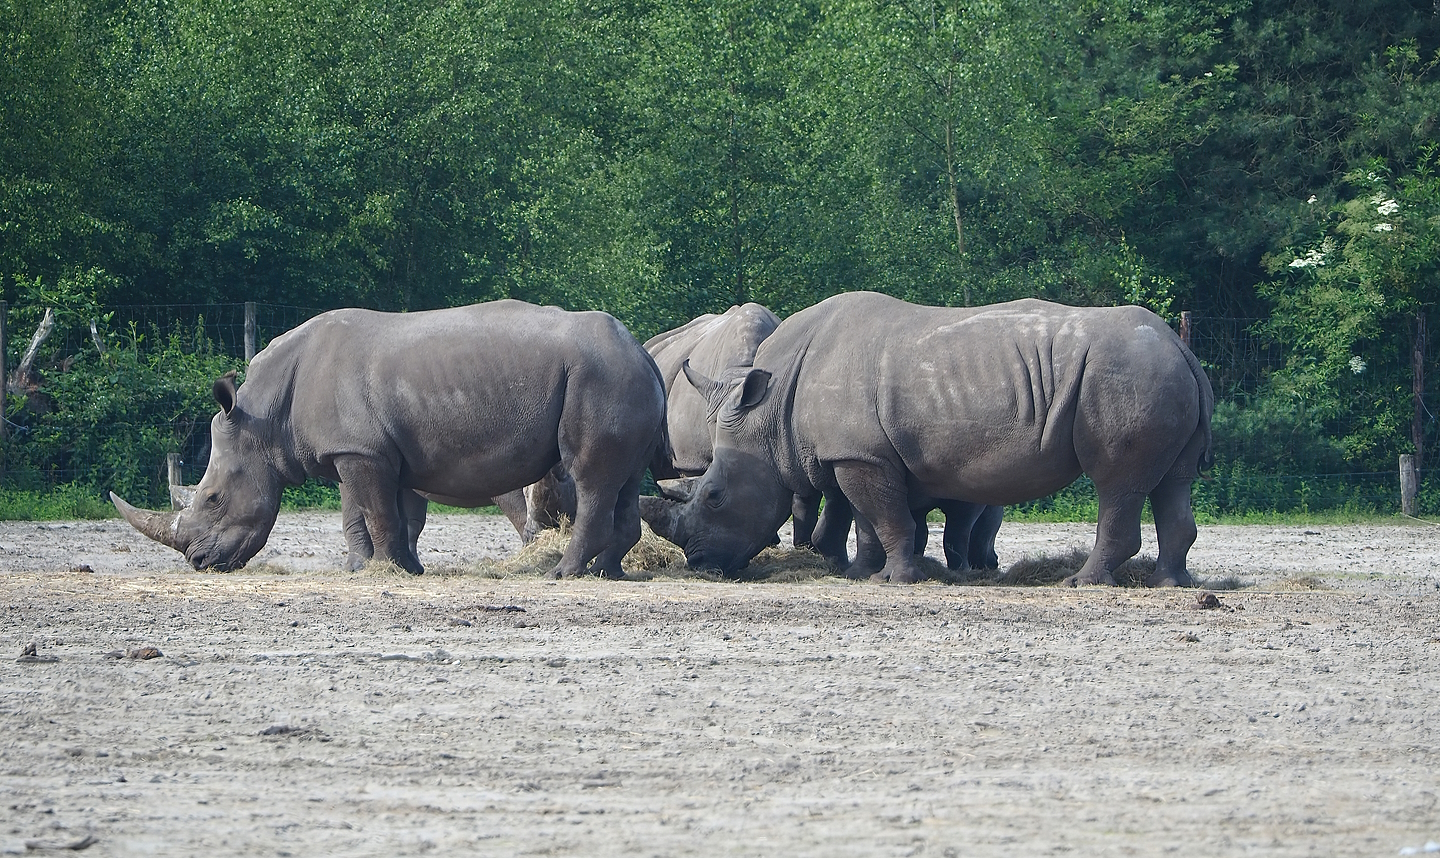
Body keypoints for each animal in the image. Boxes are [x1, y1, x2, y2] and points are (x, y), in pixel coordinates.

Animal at [112, 300, 667, 578]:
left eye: (213, 498)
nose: (199, 563)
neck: (264, 418)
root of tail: (645, 354)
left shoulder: (360, 451)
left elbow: (376, 512)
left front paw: (383, 569)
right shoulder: (363, 449)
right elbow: (369, 514)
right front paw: (385, 568)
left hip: (601, 378)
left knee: (591, 478)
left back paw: (562, 575)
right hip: (622, 380)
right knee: (623, 479)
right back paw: (608, 573)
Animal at [641, 292, 1213, 586]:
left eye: (715, 497)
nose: (699, 563)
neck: (770, 411)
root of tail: (1181, 348)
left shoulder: (860, 457)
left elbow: (885, 517)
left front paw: (896, 580)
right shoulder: (859, 454)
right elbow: (868, 518)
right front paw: (868, 575)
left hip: (1129, 375)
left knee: (1117, 482)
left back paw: (1081, 584)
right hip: (1159, 374)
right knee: (1173, 481)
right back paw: (1170, 584)